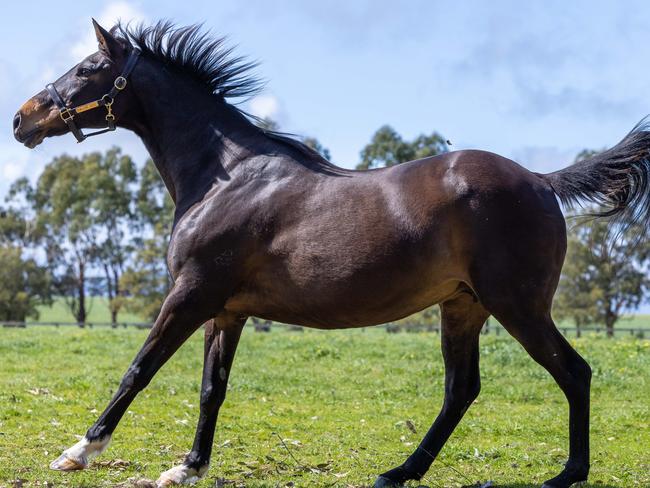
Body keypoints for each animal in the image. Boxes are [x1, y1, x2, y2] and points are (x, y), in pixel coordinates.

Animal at [11, 19, 648, 488]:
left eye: (88, 68)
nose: (22, 118)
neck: (225, 177)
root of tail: (541, 181)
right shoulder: (227, 310)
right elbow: (212, 389)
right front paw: (188, 467)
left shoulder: (190, 295)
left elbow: (138, 370)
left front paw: (78, 451)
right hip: (463, 306)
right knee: (460, 390)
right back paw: (399, 472)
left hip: (518, 305)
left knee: (574, 372)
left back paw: (566, 474)